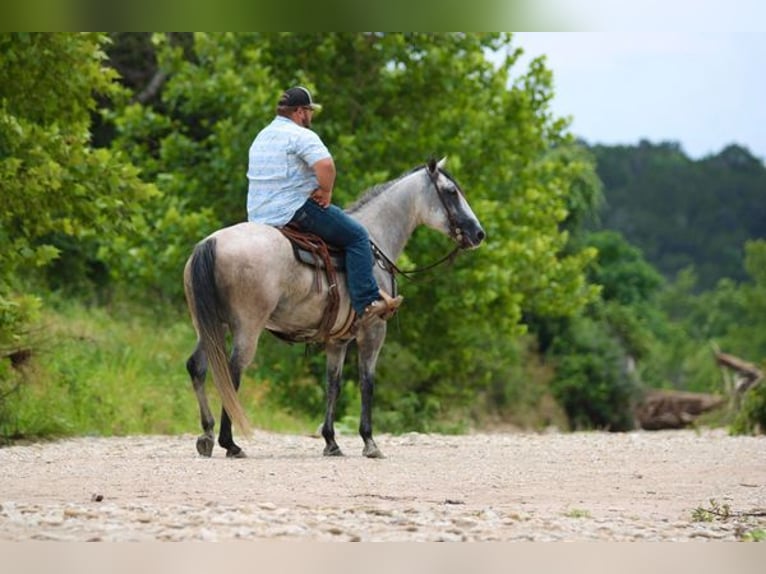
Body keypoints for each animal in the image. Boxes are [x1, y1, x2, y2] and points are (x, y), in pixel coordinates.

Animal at [183, 157, 485, 459]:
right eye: (451, 192)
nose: (478, 233)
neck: (375, 241)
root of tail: (211, 242)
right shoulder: (373, 331)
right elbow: (367, 383)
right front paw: (369, 441)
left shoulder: (337, 340)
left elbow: (333, 384)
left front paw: (331, 441)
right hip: (247, 327)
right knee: (231, 373)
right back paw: (230, 443)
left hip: (210, 325)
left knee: (197, 366)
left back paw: (207, 435)